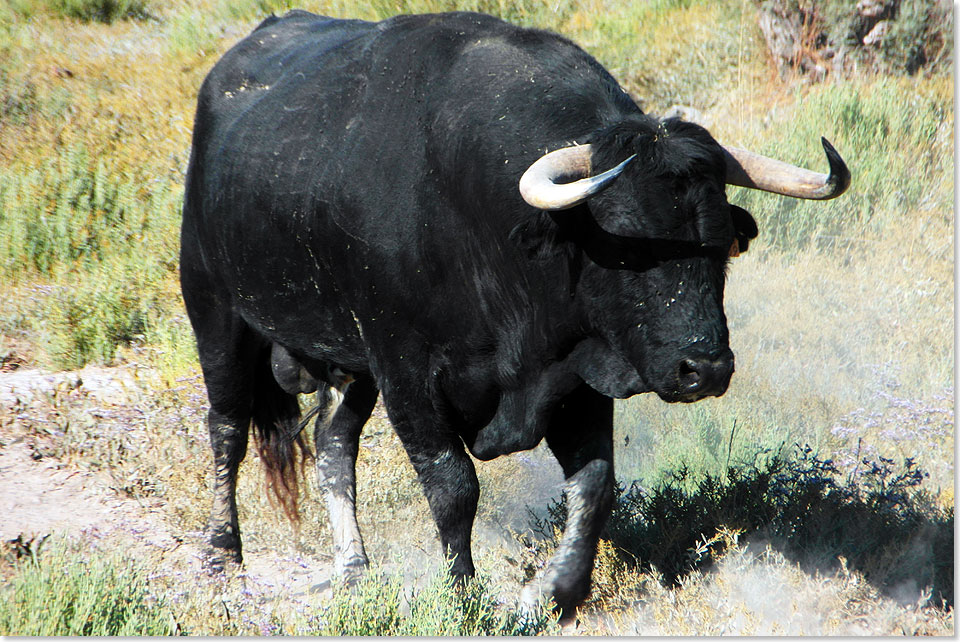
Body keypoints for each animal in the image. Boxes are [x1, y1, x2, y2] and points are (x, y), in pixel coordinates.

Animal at [178, 8, 848, 616]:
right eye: (629, 247)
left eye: (721, 247)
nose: (704, 369)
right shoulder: (407, 375)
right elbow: (454, 487)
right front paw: (462, 597)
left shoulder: (573, 375)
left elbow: (594, 485)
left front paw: (553, 592)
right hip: (216, 313)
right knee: (226, 430)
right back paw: (222, 559)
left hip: (347, 365)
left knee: (333, 443)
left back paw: (353, 569)